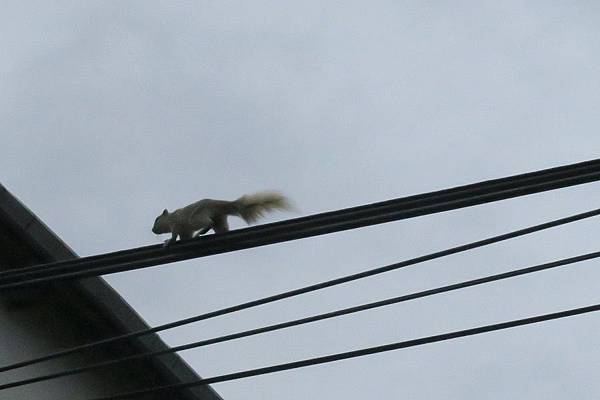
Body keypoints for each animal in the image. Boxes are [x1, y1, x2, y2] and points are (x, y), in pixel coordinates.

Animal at [154, 191, 292, 244]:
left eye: (156, 219)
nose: (152, 230)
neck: (171, 217)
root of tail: (216, 204)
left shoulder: (175, 224)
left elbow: (174, 236)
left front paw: (167, 242)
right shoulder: (184, 231)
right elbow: (184, 238)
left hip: (197, 217)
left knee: (208, 223)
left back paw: (200, 232)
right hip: (219, 220)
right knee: (222, 229)